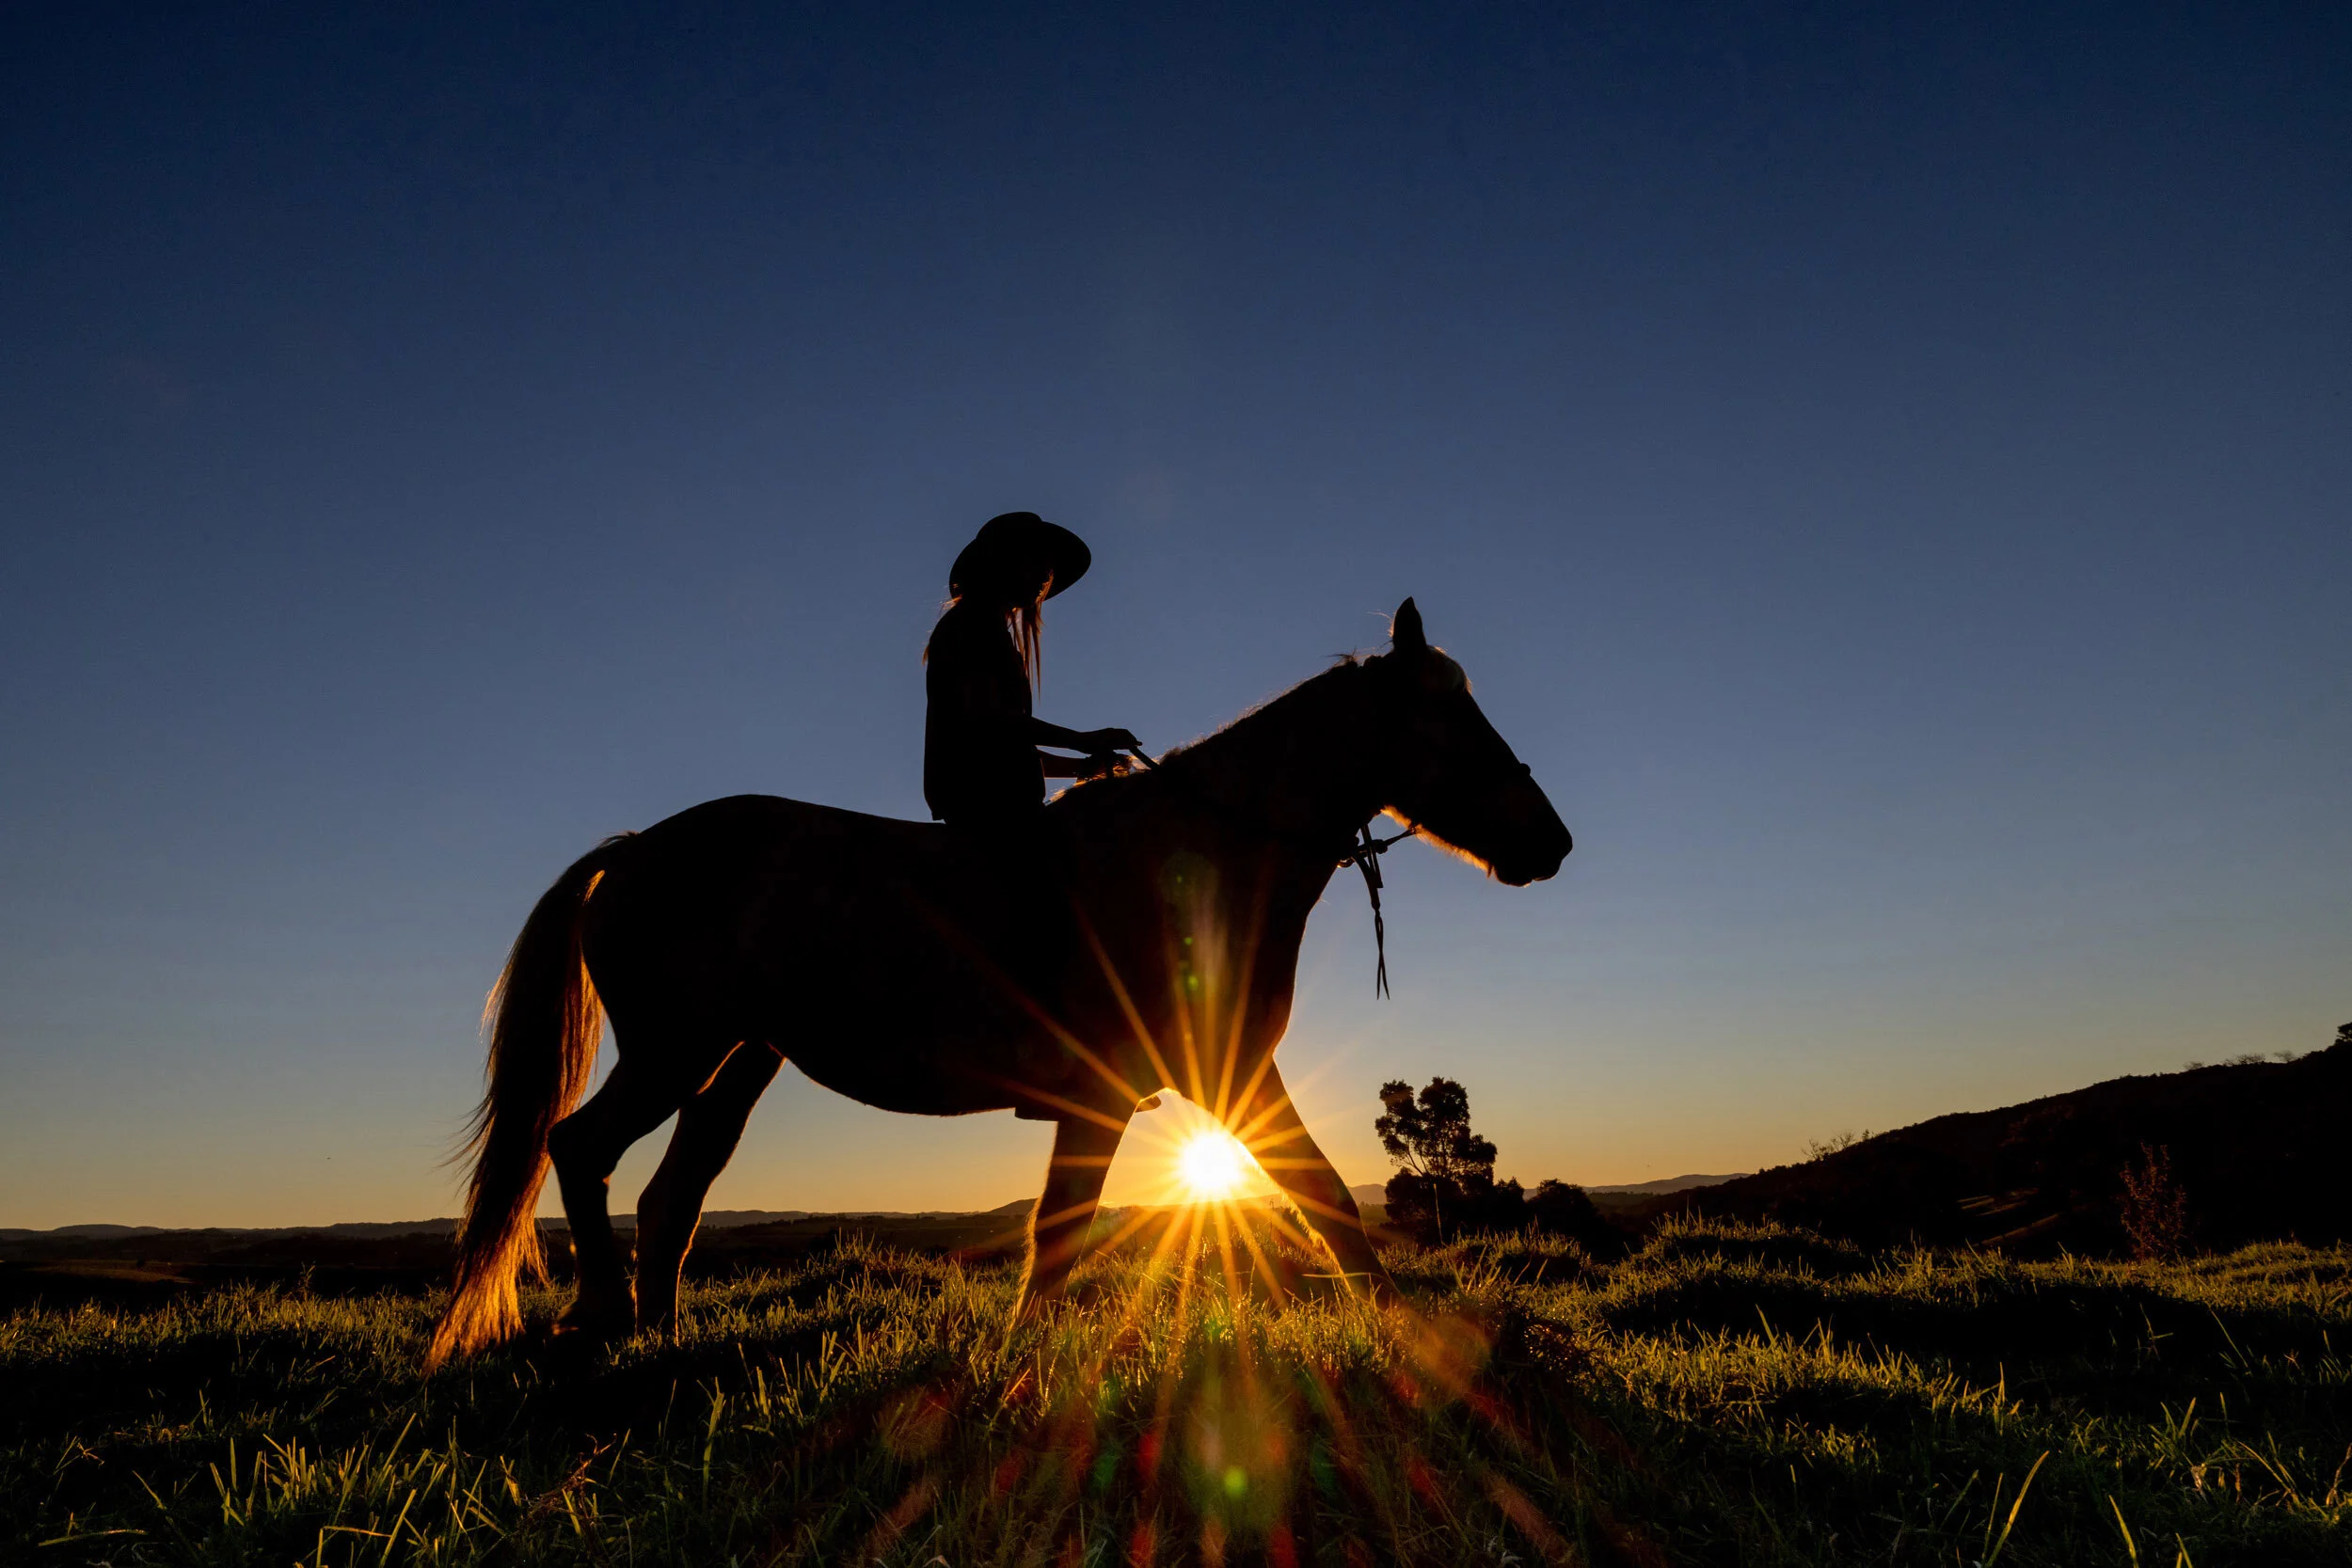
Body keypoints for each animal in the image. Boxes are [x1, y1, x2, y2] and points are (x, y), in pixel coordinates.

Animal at [425, 599, 1570, 1368]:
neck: (1207, 849)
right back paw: (602, 1319)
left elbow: (1305, 1196)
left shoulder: (1214, 1076)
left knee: (671, 1194)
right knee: (581, 1147)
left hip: (736, 1062)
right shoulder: (1143, 1088)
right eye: (1457, 718)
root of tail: (635, 851)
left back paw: (655, 1338)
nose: (1551, 843)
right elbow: (1097, 1223)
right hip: (674, 1050)